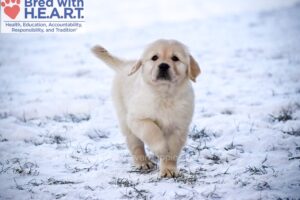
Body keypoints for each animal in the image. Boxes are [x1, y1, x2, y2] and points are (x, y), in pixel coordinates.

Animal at [91, 39, 199, 177]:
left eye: (175, 58)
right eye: (154, 57)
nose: (163, 66)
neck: (164, 94)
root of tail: (125, 65)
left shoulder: (179, 127)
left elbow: (173, 150)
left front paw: (169, 169)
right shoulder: (136, 118)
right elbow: (151, 131)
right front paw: (162, 148)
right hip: (125, 121)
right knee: (135, 144)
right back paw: (143, 162)